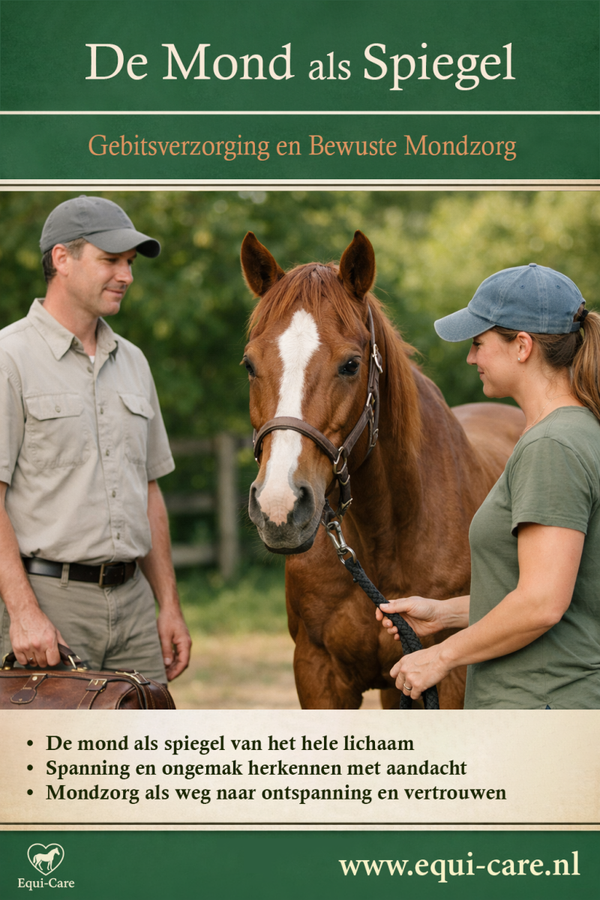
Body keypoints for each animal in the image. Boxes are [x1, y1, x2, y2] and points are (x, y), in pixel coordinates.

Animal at [241, 230, 524, 709]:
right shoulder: (318, 675)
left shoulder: (447, 678)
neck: (383, 538)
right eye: (249, 365)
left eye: (351, 364)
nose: (279, 508)